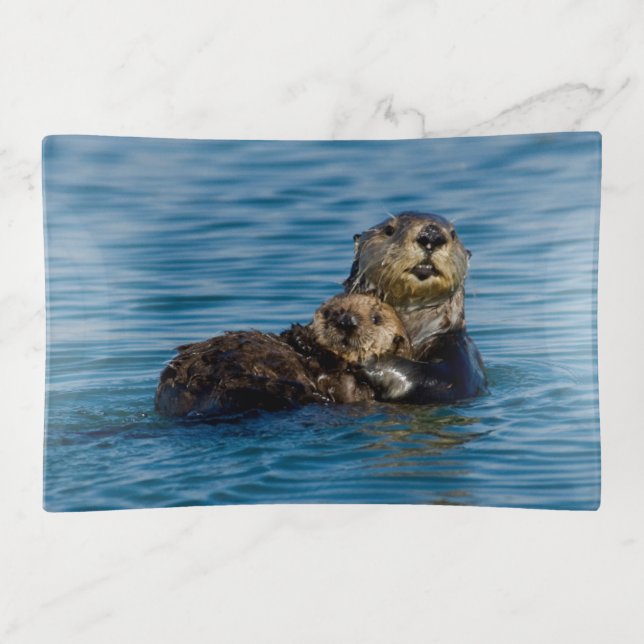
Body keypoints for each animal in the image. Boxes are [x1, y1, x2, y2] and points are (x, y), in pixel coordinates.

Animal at [155, 293, 410, 418]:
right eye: (330, 312)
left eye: (376, 318)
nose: (346, 320)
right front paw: (299, 335)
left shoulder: (354, 389)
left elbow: (346, 388)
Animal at [344, 211, 486, 403]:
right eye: (389, 230)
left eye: (453, 234)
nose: (432, 235)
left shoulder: (462, 354)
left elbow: (442, 381)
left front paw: (368, 358)